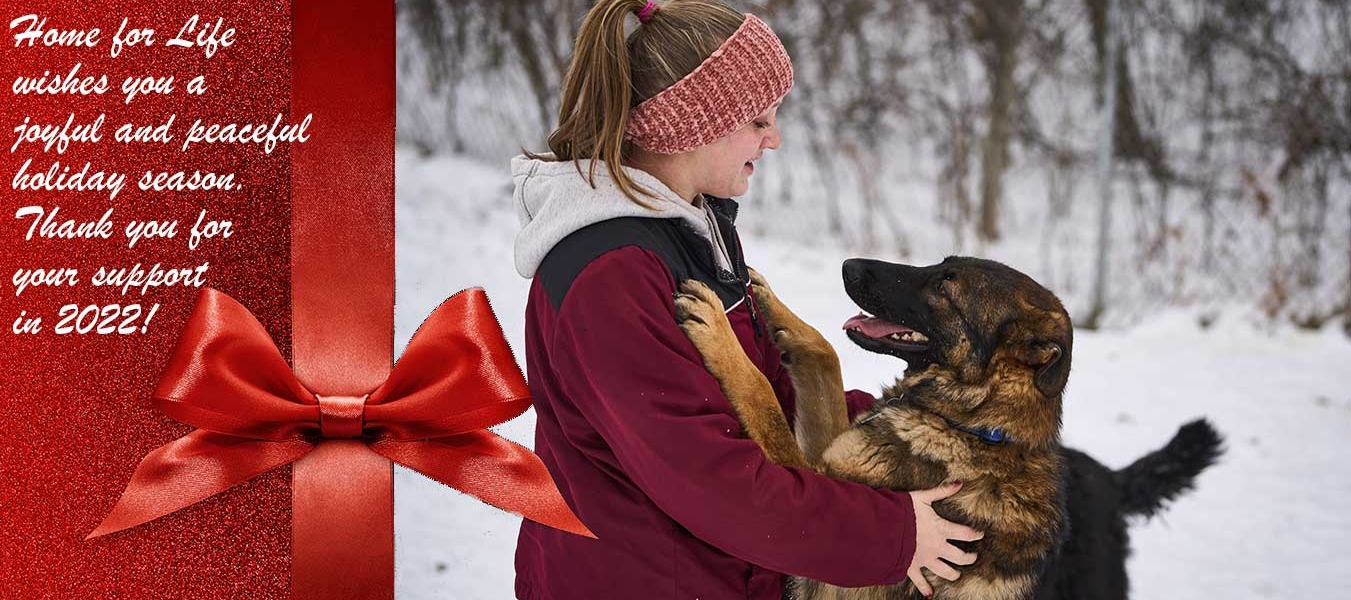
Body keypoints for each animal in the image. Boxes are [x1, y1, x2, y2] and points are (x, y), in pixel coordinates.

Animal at [680, 258, 1221, 600]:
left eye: (944, 287)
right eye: (938, 264)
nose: (848, 266)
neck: (971, 425)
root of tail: (1108, 477)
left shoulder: (814, 502)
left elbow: (763, 401)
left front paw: (718, 330)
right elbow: (827, 355)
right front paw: (770, 304)